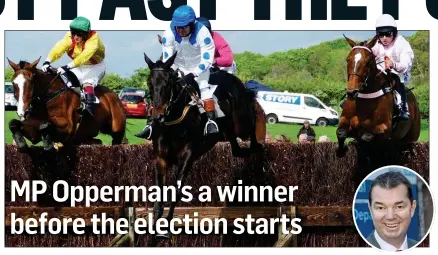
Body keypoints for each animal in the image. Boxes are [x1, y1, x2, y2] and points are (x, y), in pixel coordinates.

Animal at [143, 52, 264, 241]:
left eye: (168, 83)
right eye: (149, 82)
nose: (158, 117)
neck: (174, 123)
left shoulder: (188, 156)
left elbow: (176, 191)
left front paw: (166, 228)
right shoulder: (161, 159)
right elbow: (158, 197)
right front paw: (156, 227)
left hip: (242, 123)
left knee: (252, 122)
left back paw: (258, 145)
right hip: (228, 132)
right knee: (237, 150)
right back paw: (248, 151)